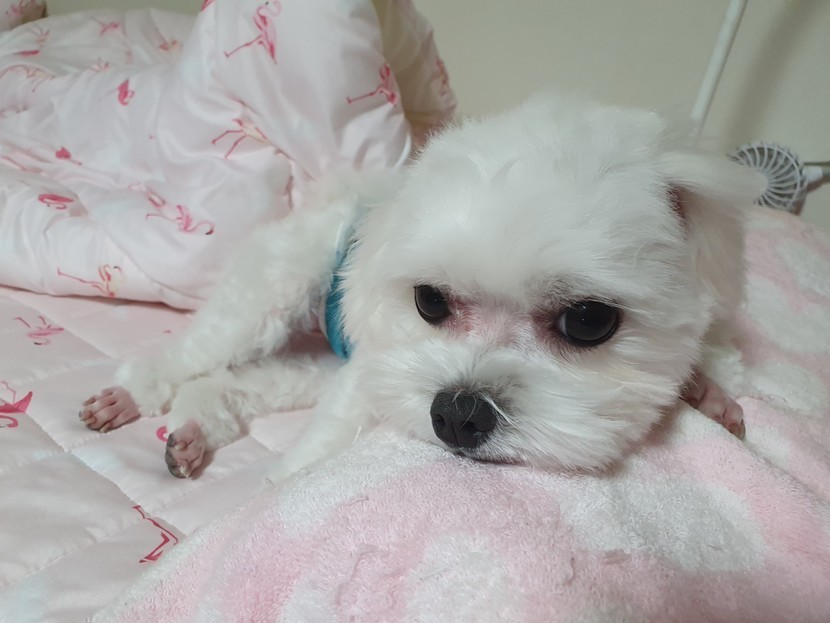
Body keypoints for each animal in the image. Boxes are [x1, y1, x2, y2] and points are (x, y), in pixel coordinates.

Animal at [79, 92, 764, 479]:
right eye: (429, 300)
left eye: (589, 321)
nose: (458, 414)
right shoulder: (378, 375)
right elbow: (307, 467)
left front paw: (708, 394)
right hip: (279, 290)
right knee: (197, 352)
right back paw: (132, 395)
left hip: (338, 360)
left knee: (244, 382)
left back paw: (194, 432)